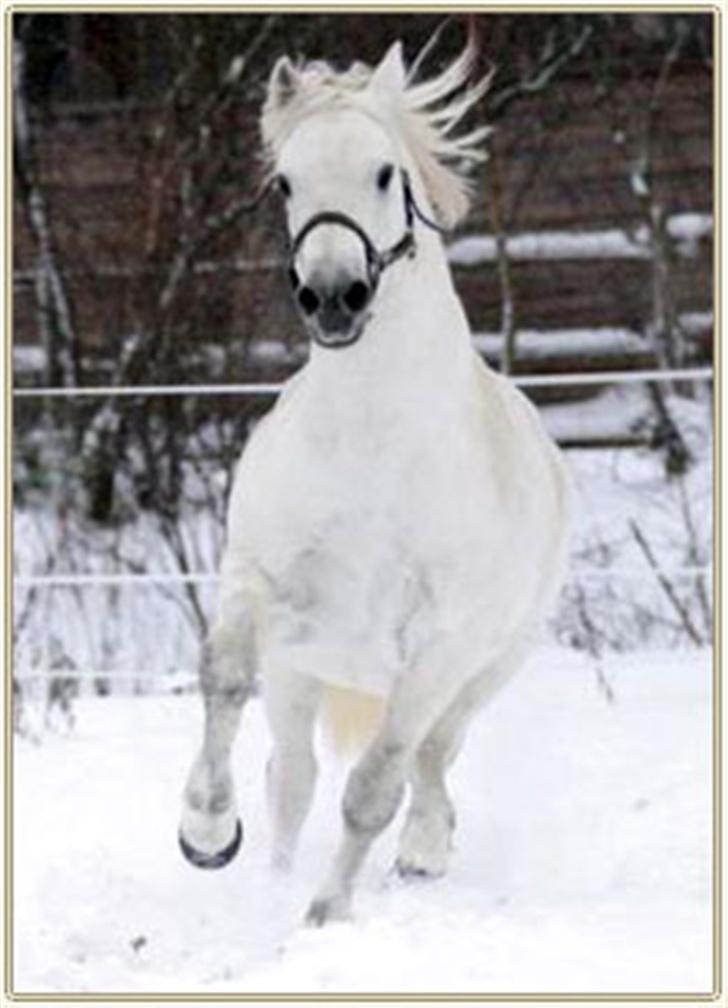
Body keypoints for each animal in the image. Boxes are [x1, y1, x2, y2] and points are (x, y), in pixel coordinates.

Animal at [177, 39, 568, 923]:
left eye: (386, 172)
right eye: (285, 182)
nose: (333, 295)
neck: (371, 443)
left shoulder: (438, 649)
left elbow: (374, 790)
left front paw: (326, 918)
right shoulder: (260, 584)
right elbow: (223, 674)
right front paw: (206, 832)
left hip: (483, 671)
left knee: (428, 761)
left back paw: (420, 854)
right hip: (304, 671)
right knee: (291, 777)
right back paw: (273, 874)